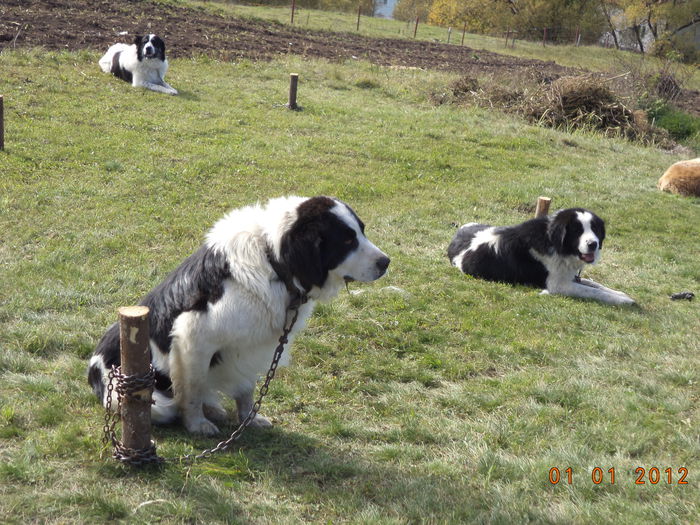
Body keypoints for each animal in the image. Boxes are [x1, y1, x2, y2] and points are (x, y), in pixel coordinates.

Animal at [88, 196, 392, 434]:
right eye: (347, 240)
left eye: (362, 232)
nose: (386, 262)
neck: (274, 261)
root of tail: (94, 368)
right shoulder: (194, 336)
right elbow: (192, 389)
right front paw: (196, 424)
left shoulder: (250, 347)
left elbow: (246, 389)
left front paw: (248, 419)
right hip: (140, 397)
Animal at [448, 209, 636, 304]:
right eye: (577, 231)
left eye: (595, 229)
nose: (593, 244)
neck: (553, 241)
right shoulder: (558, 286)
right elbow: (592, 291)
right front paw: (623, 300)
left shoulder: (567, 276)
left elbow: (594, 284)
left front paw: (620, 293)